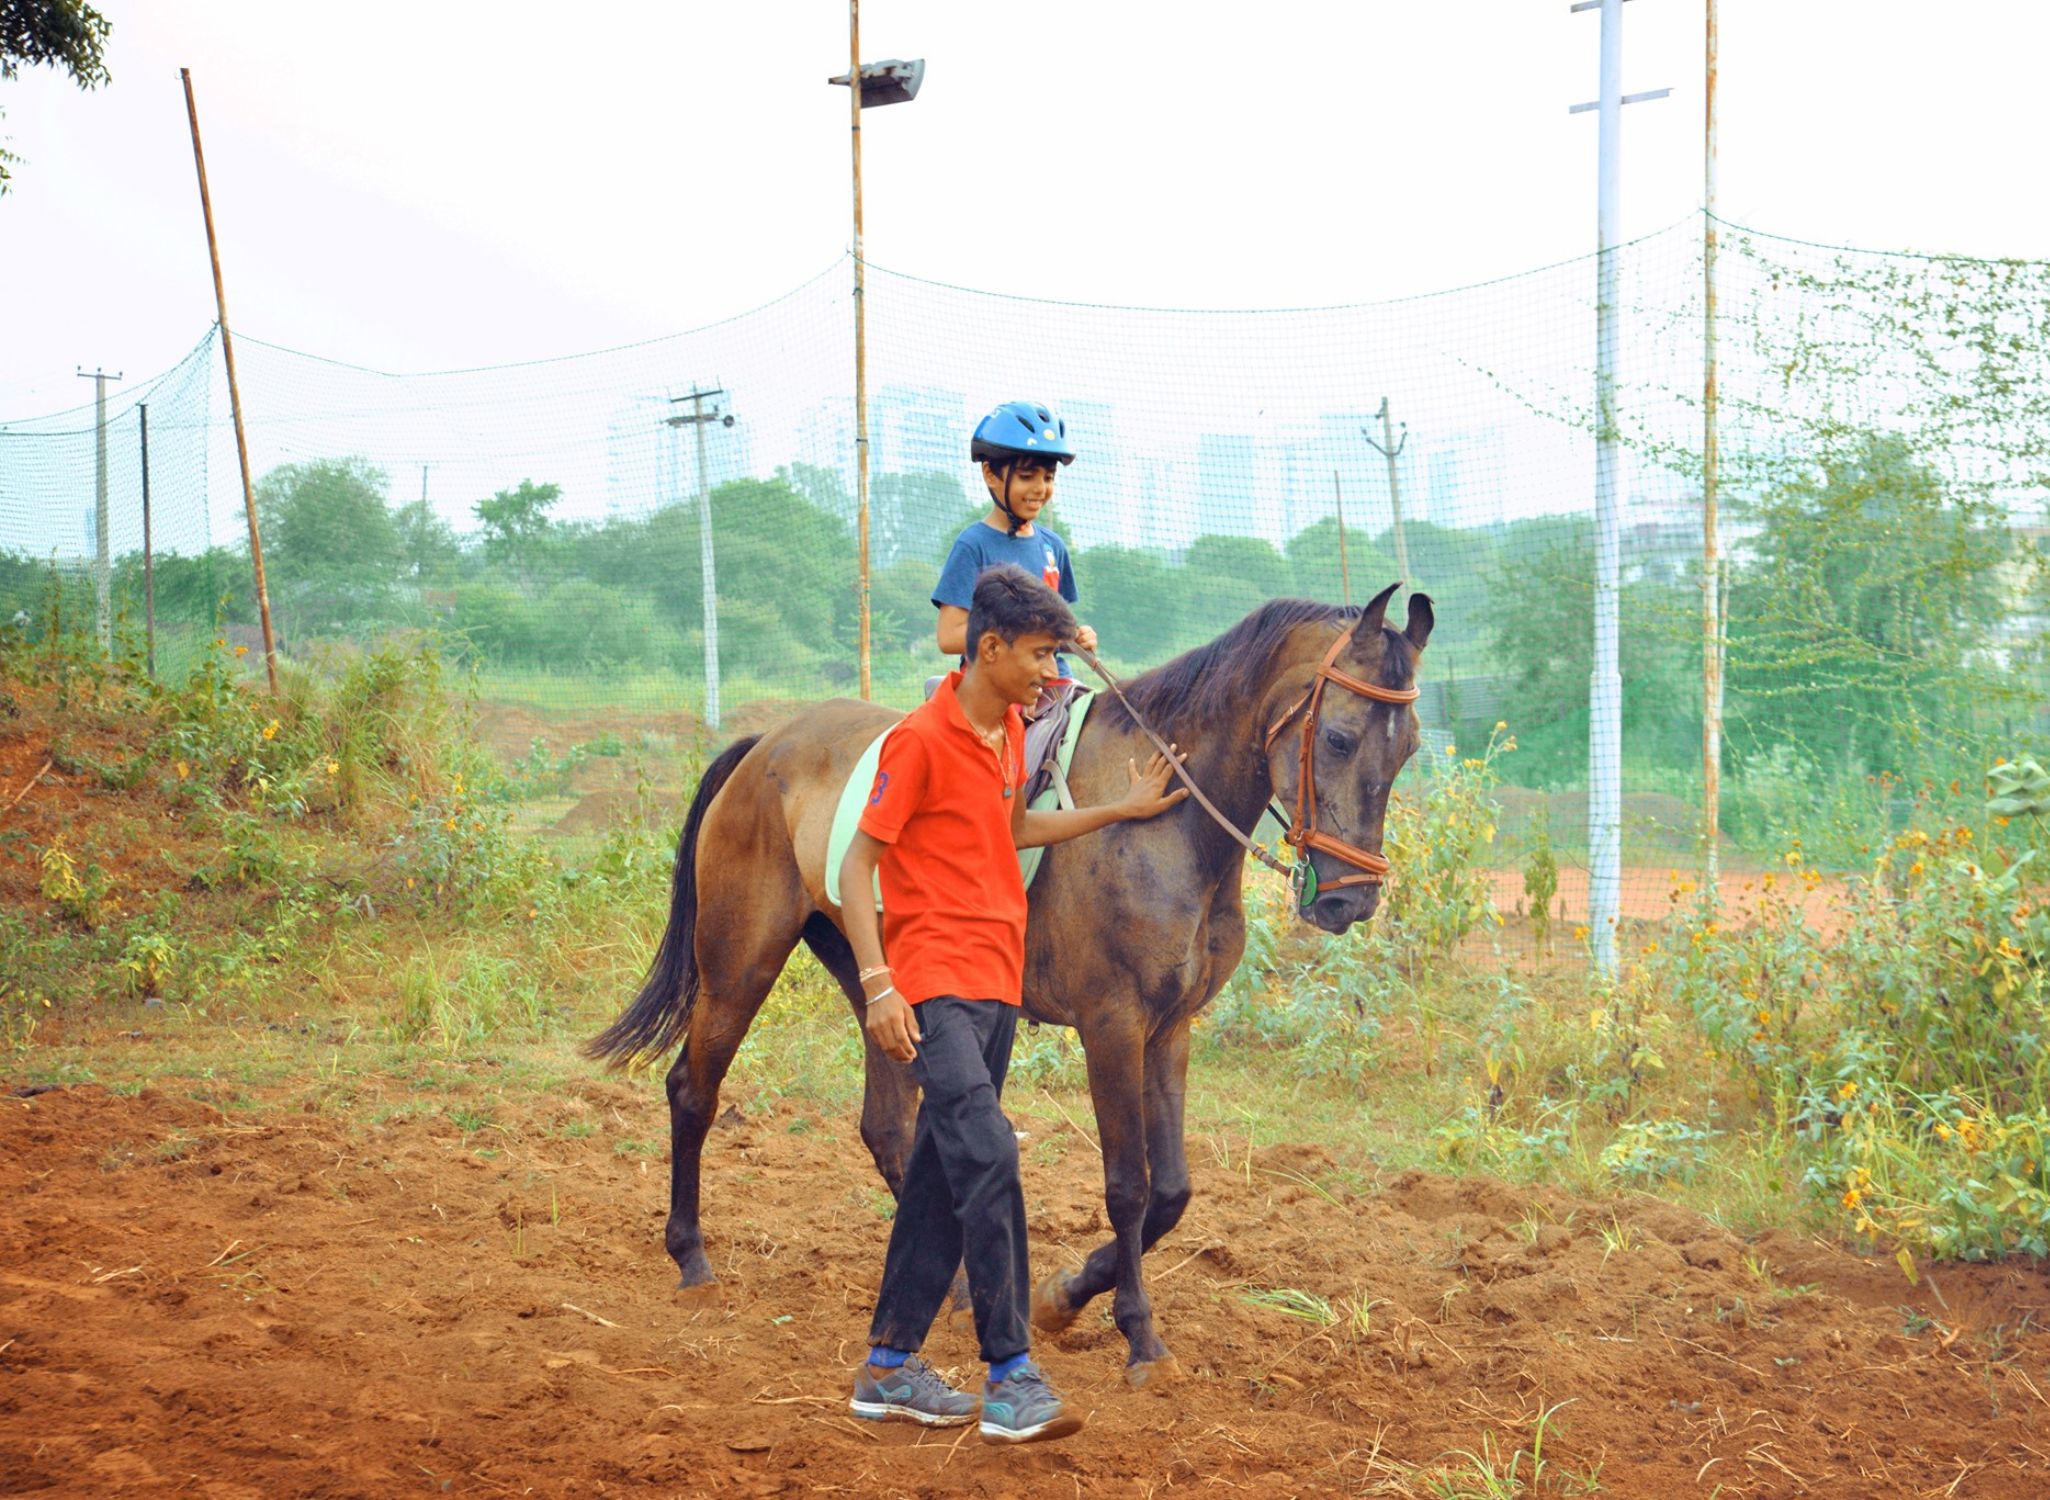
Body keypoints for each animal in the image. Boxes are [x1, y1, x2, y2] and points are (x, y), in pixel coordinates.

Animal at [586, 581, 1435, 1385]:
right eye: (1338, 736)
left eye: (1410, 749)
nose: (1350, 900)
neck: (1166, 825)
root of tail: (769, 743)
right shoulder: (1112, 1024)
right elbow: (1128, 1185)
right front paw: (1136, 1335)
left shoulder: (1170, 1027)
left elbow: (1172, 1191)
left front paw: (1063, 1296)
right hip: (741, 963)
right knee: (694, 1089)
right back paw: (692, 1258)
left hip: (879, 988)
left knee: (887, 1129)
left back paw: (962, 1287)